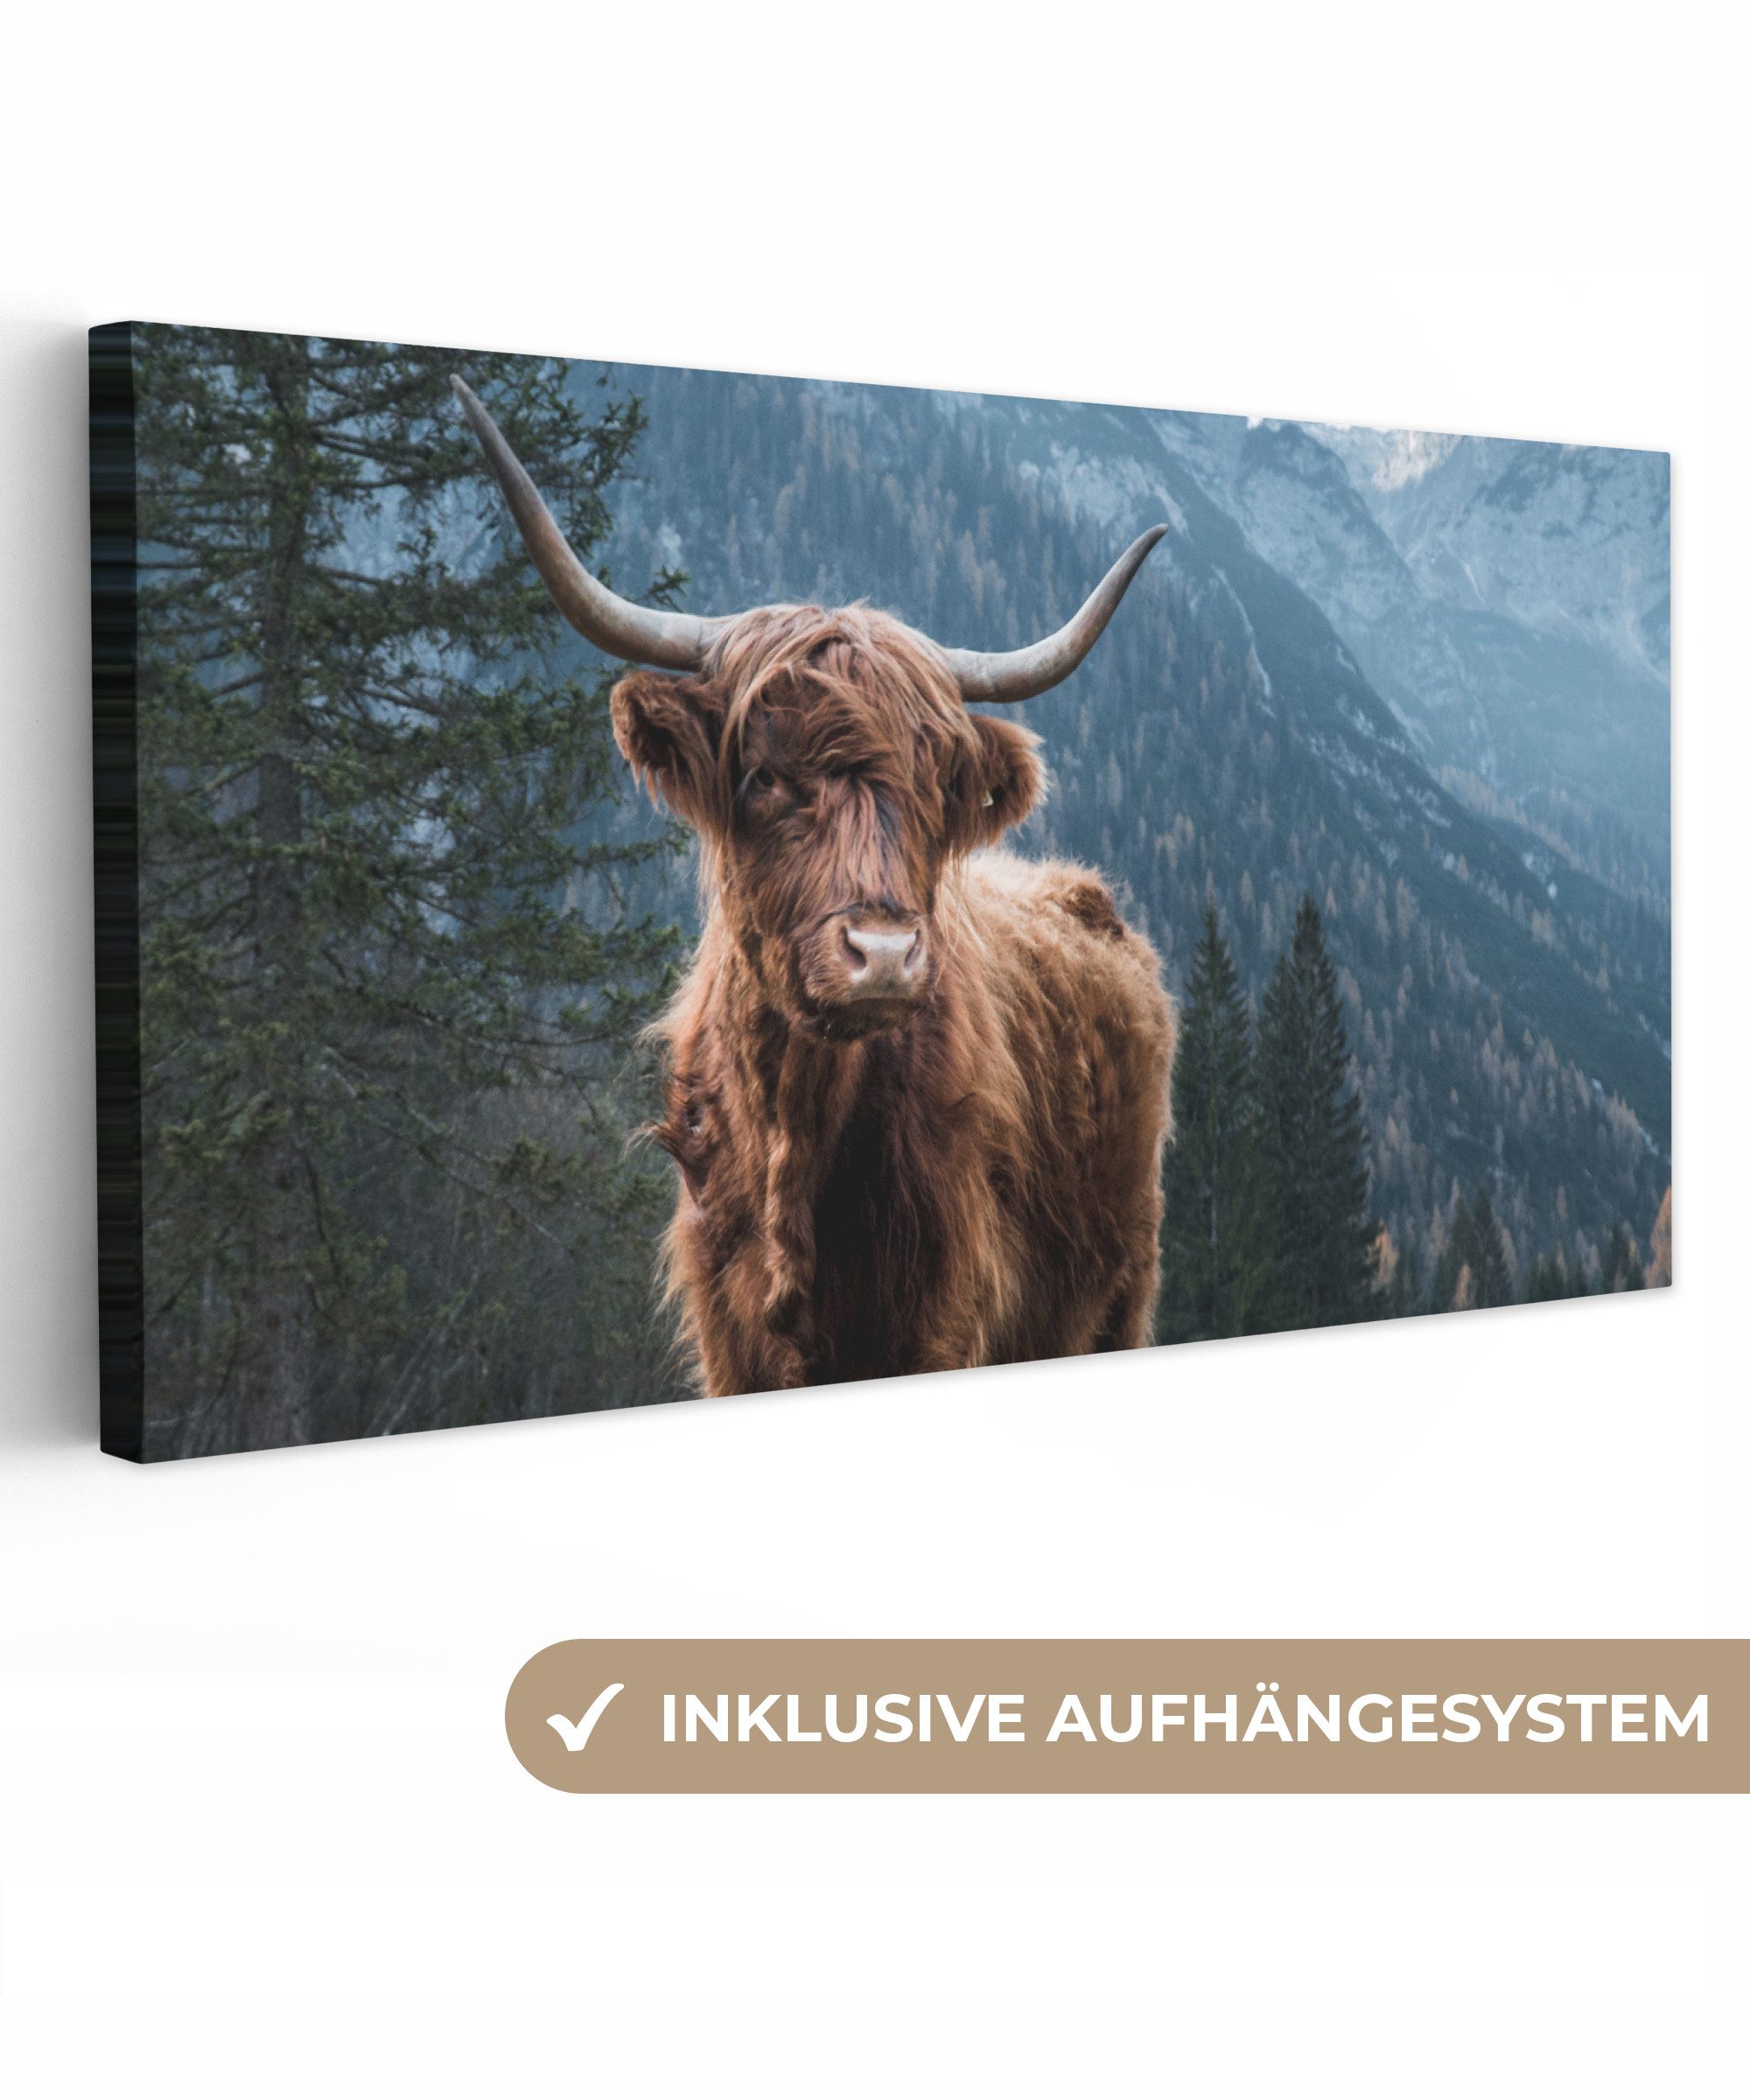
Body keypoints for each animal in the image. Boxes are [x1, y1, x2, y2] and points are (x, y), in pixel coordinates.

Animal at [454, 378, 1175, 1397]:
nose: (884, 956)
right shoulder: (728, 1334)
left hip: (1117, 1293)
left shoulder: (941, 1316)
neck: (793, 1132)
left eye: (933, 787)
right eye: (762, 776)